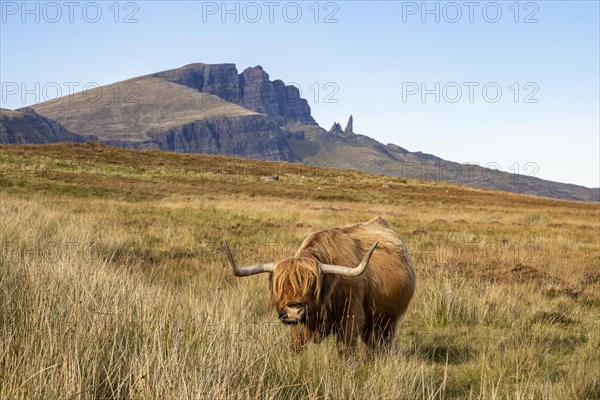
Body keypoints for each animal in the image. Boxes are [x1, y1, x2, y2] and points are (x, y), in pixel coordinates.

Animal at [223, 216, 414, 356]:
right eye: (280, 286)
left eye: (312, 285)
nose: (293, 310)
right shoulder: (298, 326)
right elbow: (297, 348)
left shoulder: (351, 318)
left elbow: (345, 351)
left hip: (389, 320)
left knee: (381, 343)